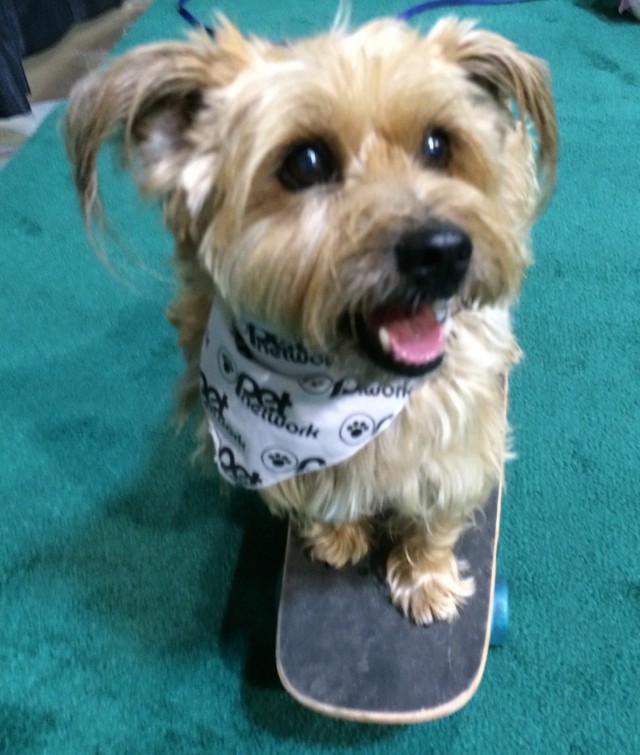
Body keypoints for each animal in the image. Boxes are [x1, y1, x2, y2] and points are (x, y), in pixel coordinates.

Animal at [63, 14, 556, 628]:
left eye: (437, 144)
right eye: (306, 162)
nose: (443, 251)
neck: (335, 389)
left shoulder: (459, 439)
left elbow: (436, 511)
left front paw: (427, 575)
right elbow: (322, 499)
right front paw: (336, 533)